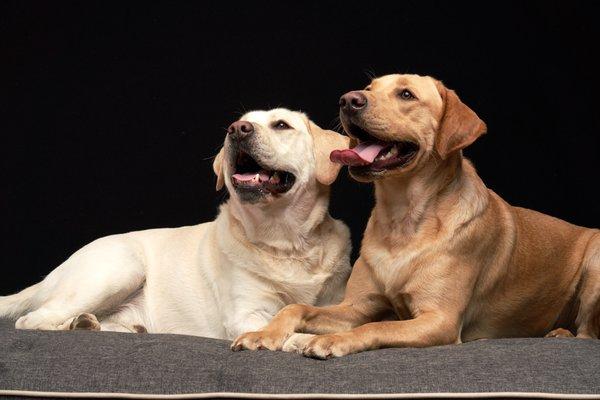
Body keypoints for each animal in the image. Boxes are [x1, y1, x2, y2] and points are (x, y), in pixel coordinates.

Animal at [0, 108, 352, 338]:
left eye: (281, 125)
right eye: (240, 123)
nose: (237, 129)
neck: (286, 243)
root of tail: (49, 277)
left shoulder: (336, 302)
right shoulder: (248, 315)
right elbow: (289, 331)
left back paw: (98, 325)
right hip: (120, 266)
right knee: (32, 320)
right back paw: (76, 324)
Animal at [231, 73, 600, 358]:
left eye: (406, 94)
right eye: (368, 87)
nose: (348, 100)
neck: (402, 218)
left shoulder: (439, 320)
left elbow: (377, 326)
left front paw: (332, 340)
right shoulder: (356, 306)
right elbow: (296, 307)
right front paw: (265, 334)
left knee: (588, 334)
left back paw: (561, 335)